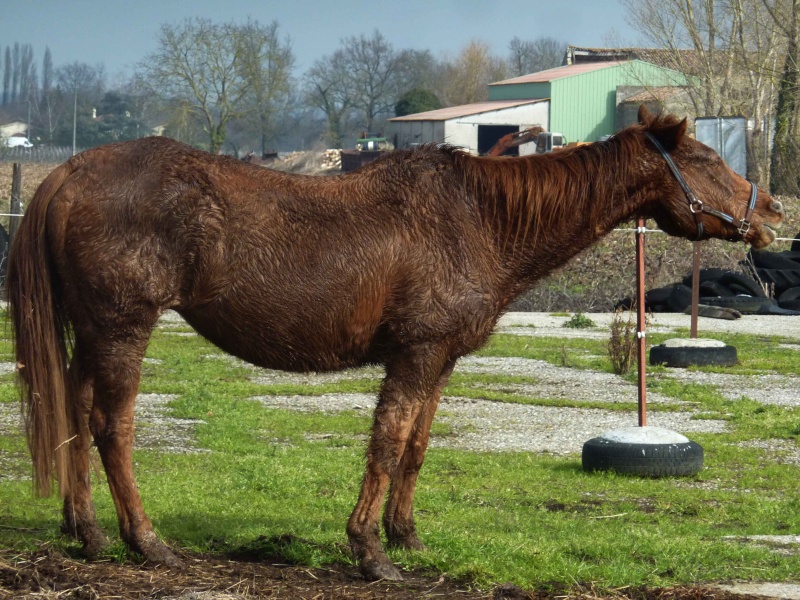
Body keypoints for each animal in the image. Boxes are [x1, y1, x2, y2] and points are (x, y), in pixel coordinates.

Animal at [6, 108, 780, 580]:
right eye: (704, 158)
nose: (770, 211)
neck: (481, 219)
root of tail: (68, 173)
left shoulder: (437, 360)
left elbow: (415, 448)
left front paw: (406, 534)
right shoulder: (414, 355)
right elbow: (385, 444)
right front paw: (370, 550)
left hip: (92, 331)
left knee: (73, 413)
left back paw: (87, 532)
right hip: (123, 327)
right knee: (111, 426)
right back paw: (146, 542)